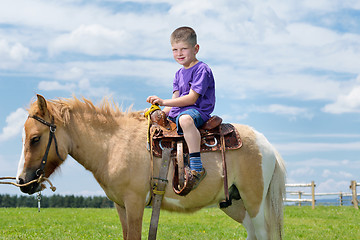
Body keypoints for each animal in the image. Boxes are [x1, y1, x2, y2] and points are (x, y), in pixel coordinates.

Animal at [16, 95, 286, 240]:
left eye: (35, 138)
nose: (22, 181)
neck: (113, 143)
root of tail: (267, 145)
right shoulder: (121, 206)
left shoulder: (135, 202)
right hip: (234, 203)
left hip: (254, 202)